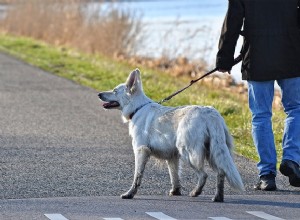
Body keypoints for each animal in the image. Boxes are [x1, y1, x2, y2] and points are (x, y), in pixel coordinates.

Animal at [98, 69, 244, 201]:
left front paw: (130, 194)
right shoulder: (172, 157)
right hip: (213, 152)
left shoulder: (141, 151)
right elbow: (174, 176)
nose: (99, 94)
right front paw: (176, 191)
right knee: (221, 172)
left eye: (114, 91)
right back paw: (218, 197)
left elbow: (137, 176)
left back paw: (196, 192)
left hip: (188, 152)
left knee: (204, 175)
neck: (137, 108)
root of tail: (211, 114)